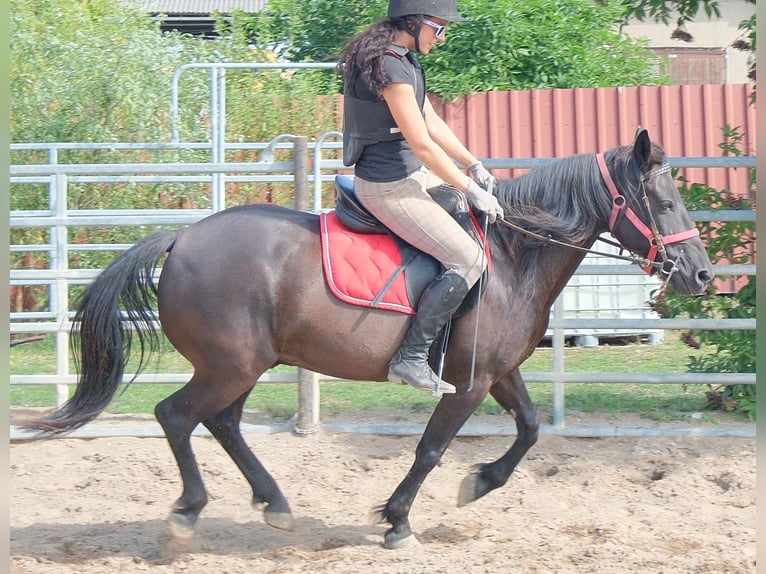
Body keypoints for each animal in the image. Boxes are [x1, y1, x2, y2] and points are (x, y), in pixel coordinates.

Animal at [21, 128, 713, 549]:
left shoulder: (499, 373)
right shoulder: (465, 385)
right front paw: (398, 520)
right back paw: (189, 511)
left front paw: (480, 483)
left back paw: (273, 503)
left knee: (221, 423)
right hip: (229, 366)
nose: (702, 274)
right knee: (176, 416)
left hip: (243, 366)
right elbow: (430, 451)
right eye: (660, 200)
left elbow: (530, 429)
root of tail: (181, 238)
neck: (513, 258)